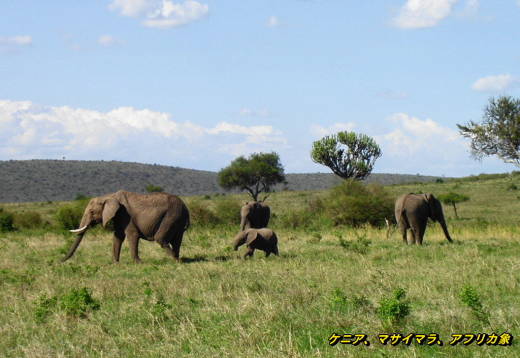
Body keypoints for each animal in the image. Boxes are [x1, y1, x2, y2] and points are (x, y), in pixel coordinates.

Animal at [62, 190, 190, 262]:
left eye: (92, 212)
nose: (60, 261)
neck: (109, 196)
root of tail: (185, 207)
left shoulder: (126, 215)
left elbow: (132, 235)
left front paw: (138, 263)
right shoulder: (118, 216)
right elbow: (118, 236)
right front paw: (115, 263)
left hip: (172, 215)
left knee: (160, 238)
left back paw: (175, 260)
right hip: (178, 218)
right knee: (177, 240)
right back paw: (178, 259)